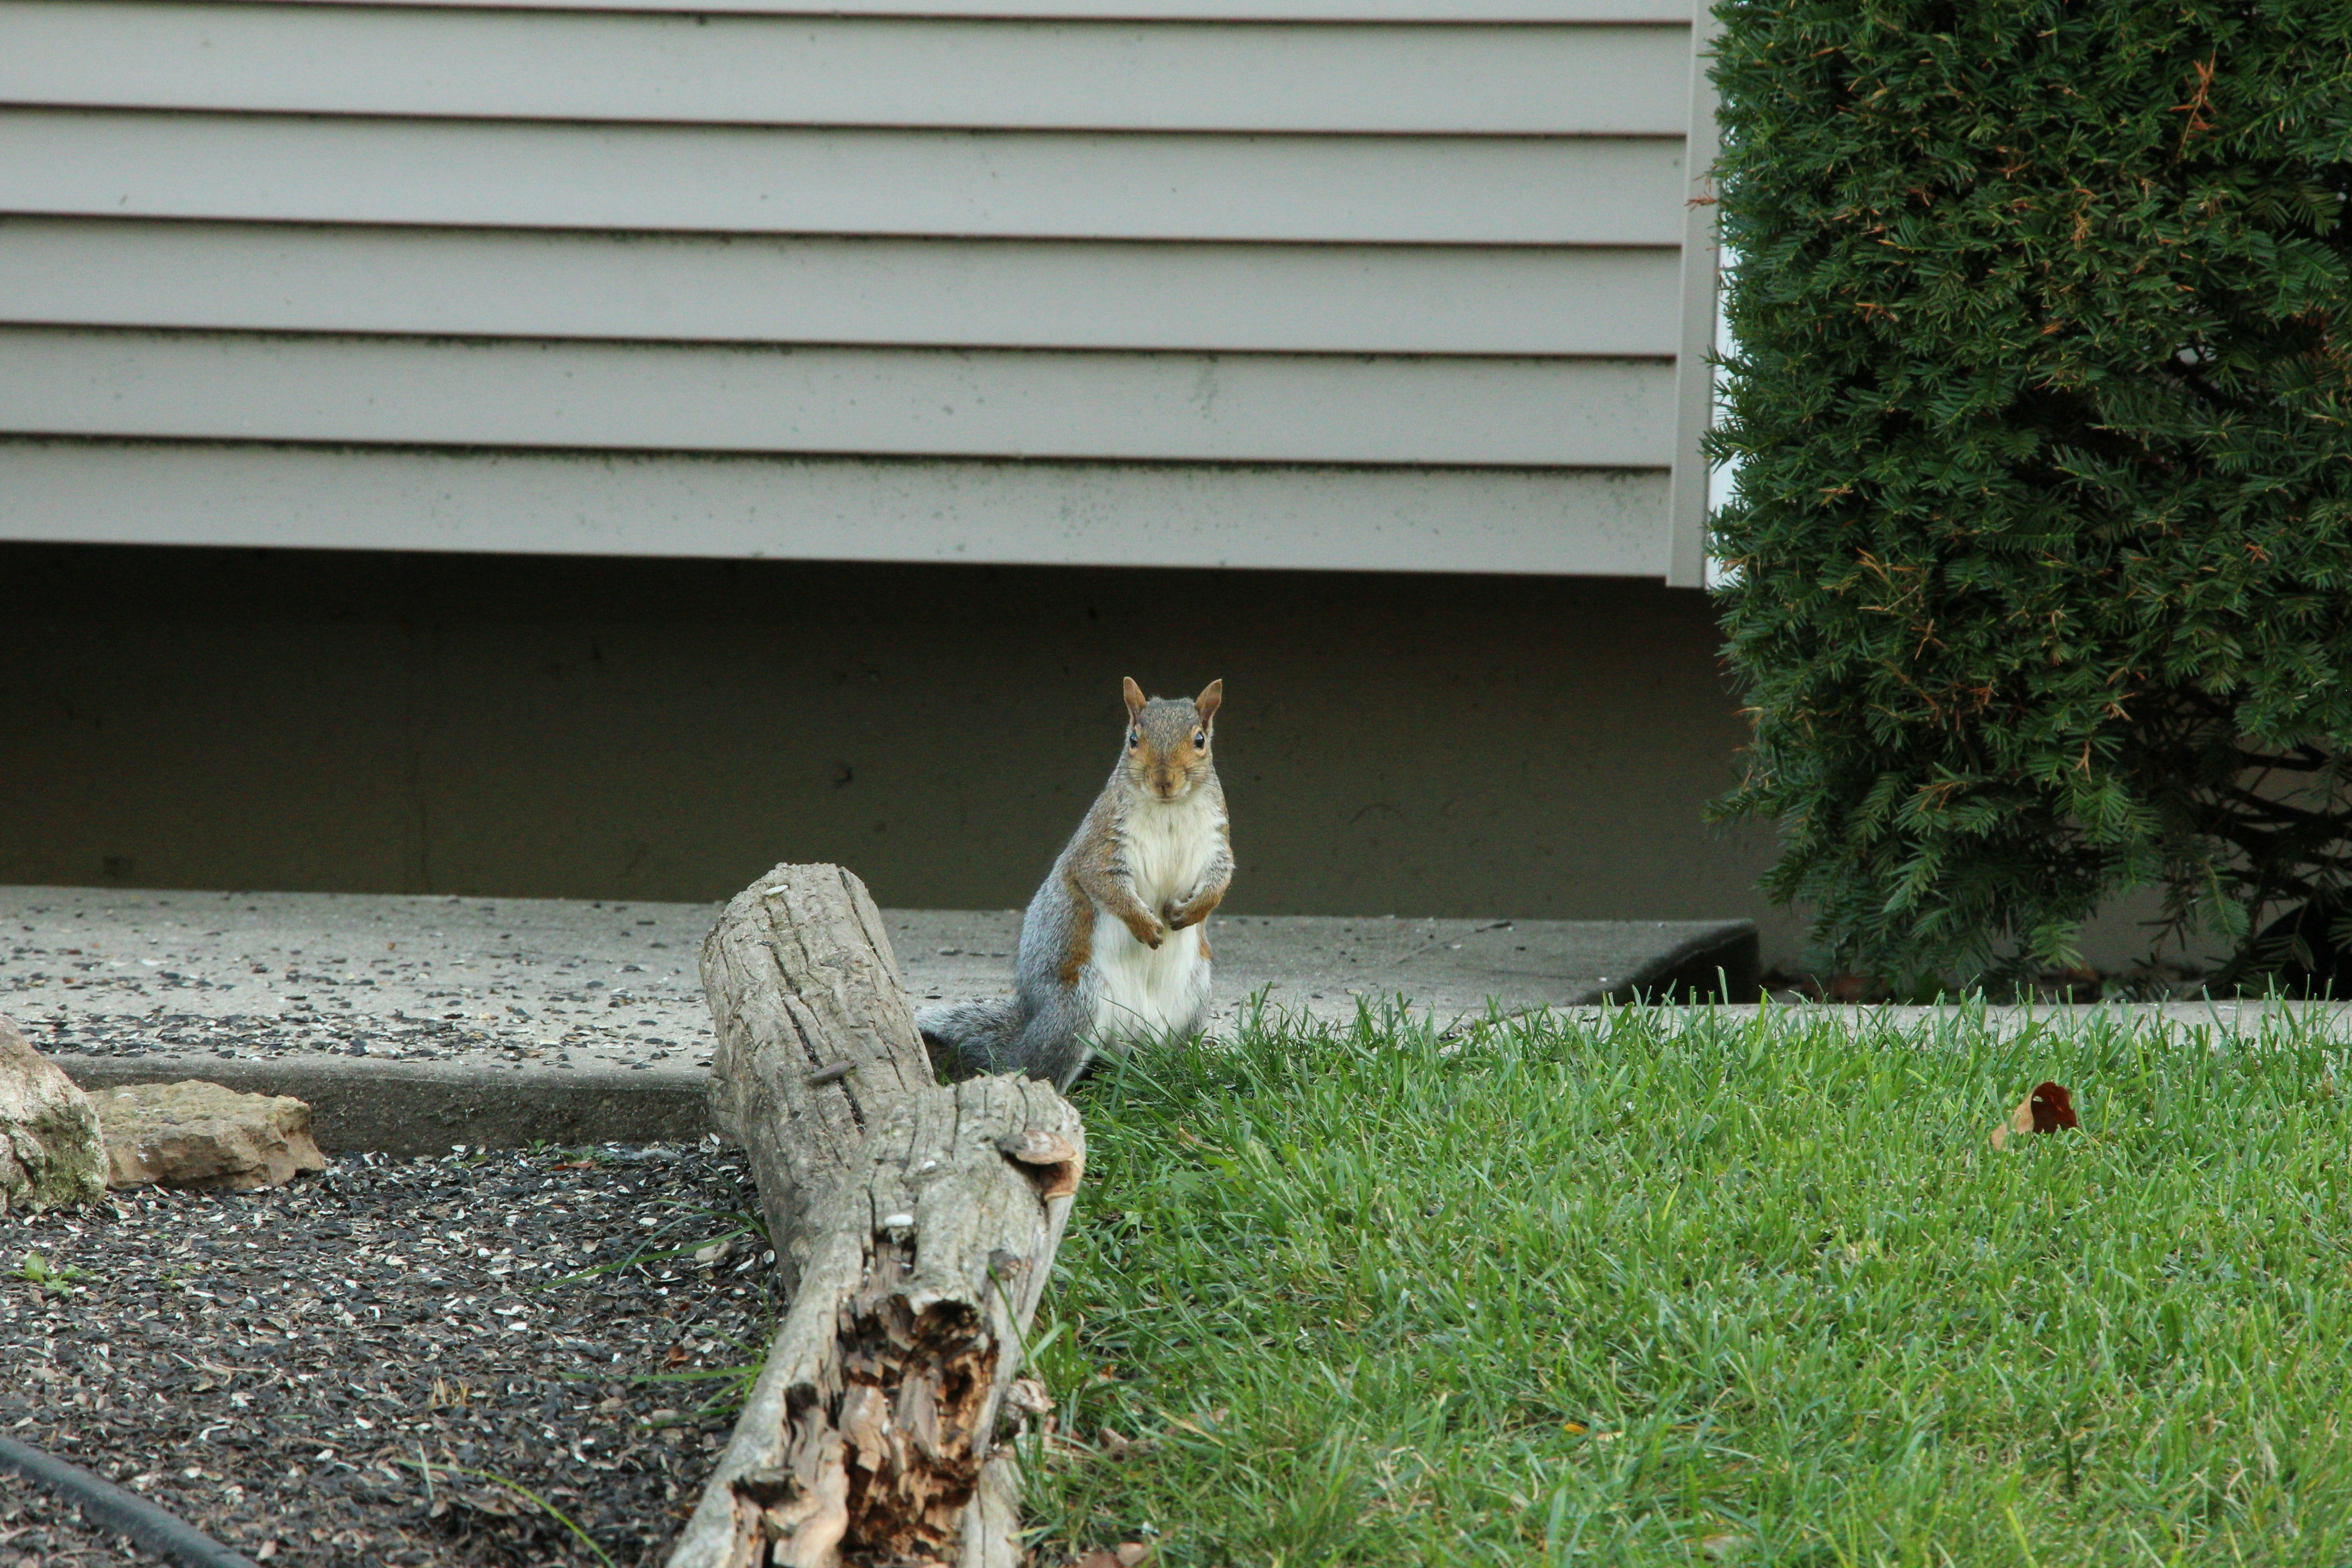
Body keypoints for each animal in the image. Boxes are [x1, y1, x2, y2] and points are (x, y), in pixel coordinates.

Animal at [919, 677, 1232, 1090]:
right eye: (1134, 739)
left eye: (1200, 740)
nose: (1164, 780)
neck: (1169, 809)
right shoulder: (1100, 844)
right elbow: (1103, 883)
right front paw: (1145, 926)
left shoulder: (1216, 842)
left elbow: (1219, 881)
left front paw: (1189, 913)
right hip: (1077, 1008)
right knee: (1039, 1068)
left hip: (1193, 1002)